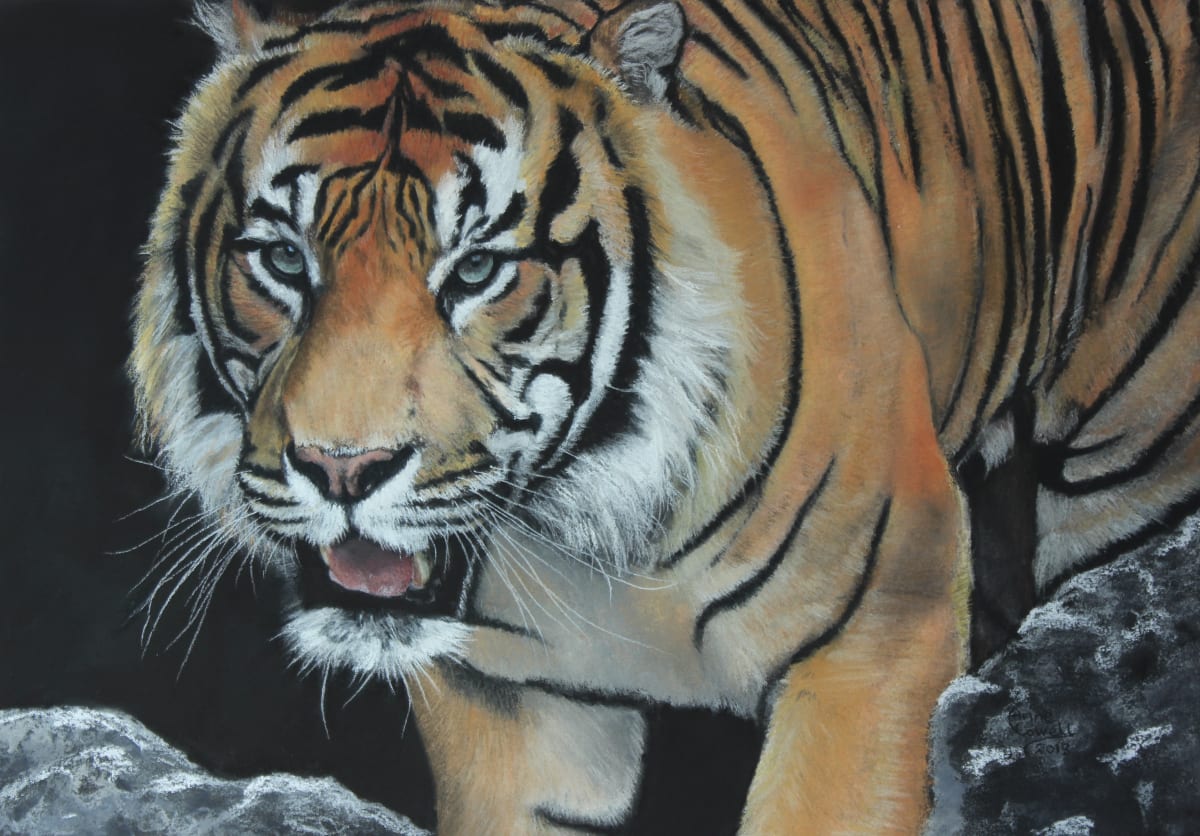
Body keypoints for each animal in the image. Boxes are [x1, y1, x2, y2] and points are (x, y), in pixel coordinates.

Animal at [128, 0, 1200, 832]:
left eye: (475, 270)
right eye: (283, 259)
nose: (342, 469)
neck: (580, 541)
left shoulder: (875, 633)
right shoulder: (514, 705)